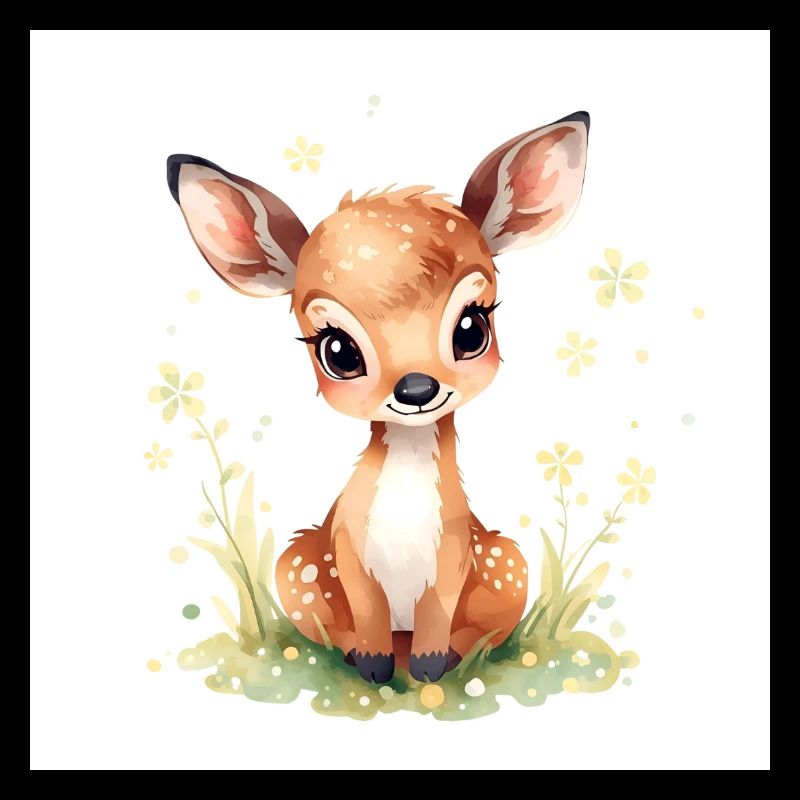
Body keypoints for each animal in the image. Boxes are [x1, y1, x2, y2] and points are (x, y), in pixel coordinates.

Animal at [166, 111, 589, 683]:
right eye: (338, 350)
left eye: (472, 327)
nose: (417, 388)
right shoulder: (346, 547)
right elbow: (366, 613)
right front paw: (373, 667)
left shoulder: (456, 551)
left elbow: (438, 615)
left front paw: (430, 670)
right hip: (296, 564)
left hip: (508, 563)